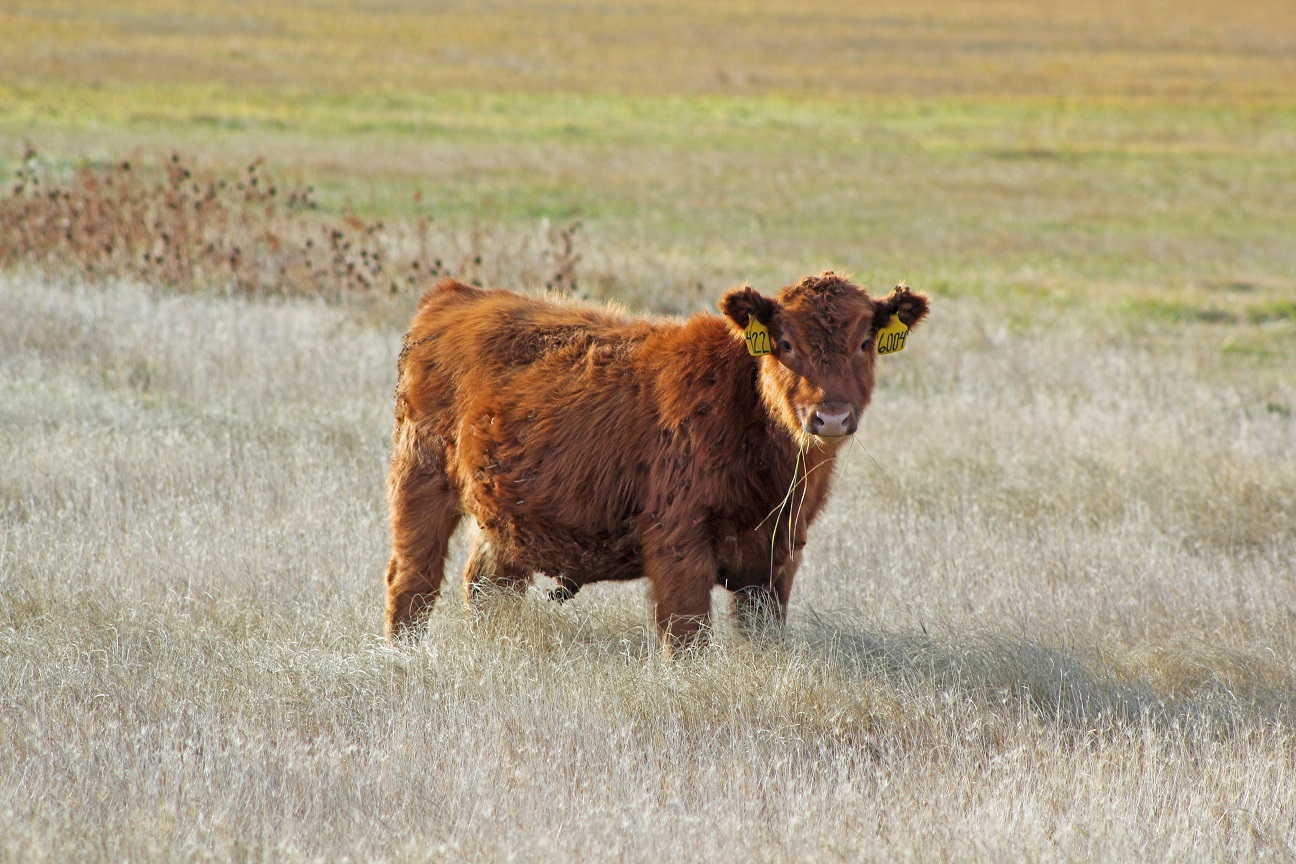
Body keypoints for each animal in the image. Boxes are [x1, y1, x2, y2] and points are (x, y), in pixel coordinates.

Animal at [378, 270, 927, 655]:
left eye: (864, 343)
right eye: (786, 344)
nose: (830, 416)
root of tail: (457, 296)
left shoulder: (777, 558)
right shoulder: (679, 544)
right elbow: (685, 639)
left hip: (503, 518)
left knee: (489, 587)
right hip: (420, 479)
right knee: (412, 582)